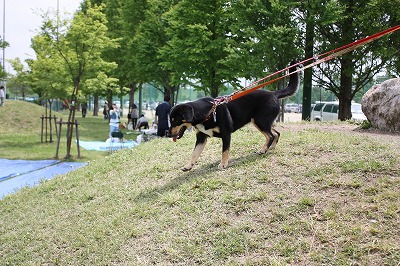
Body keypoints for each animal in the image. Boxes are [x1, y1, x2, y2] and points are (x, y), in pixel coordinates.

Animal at [170, 61, 300, 171]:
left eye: (175, 120)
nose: (168, 134)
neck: (209, 112)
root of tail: (274, 93)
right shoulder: (201, 138)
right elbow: (194, 153)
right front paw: (188, 166)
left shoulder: (226, 134)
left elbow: (224, 151)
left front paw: (223, 164)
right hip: (264, 121)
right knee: (276, 133)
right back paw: (270, 148)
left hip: (259, 121)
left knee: (271, 135)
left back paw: (263, 150)